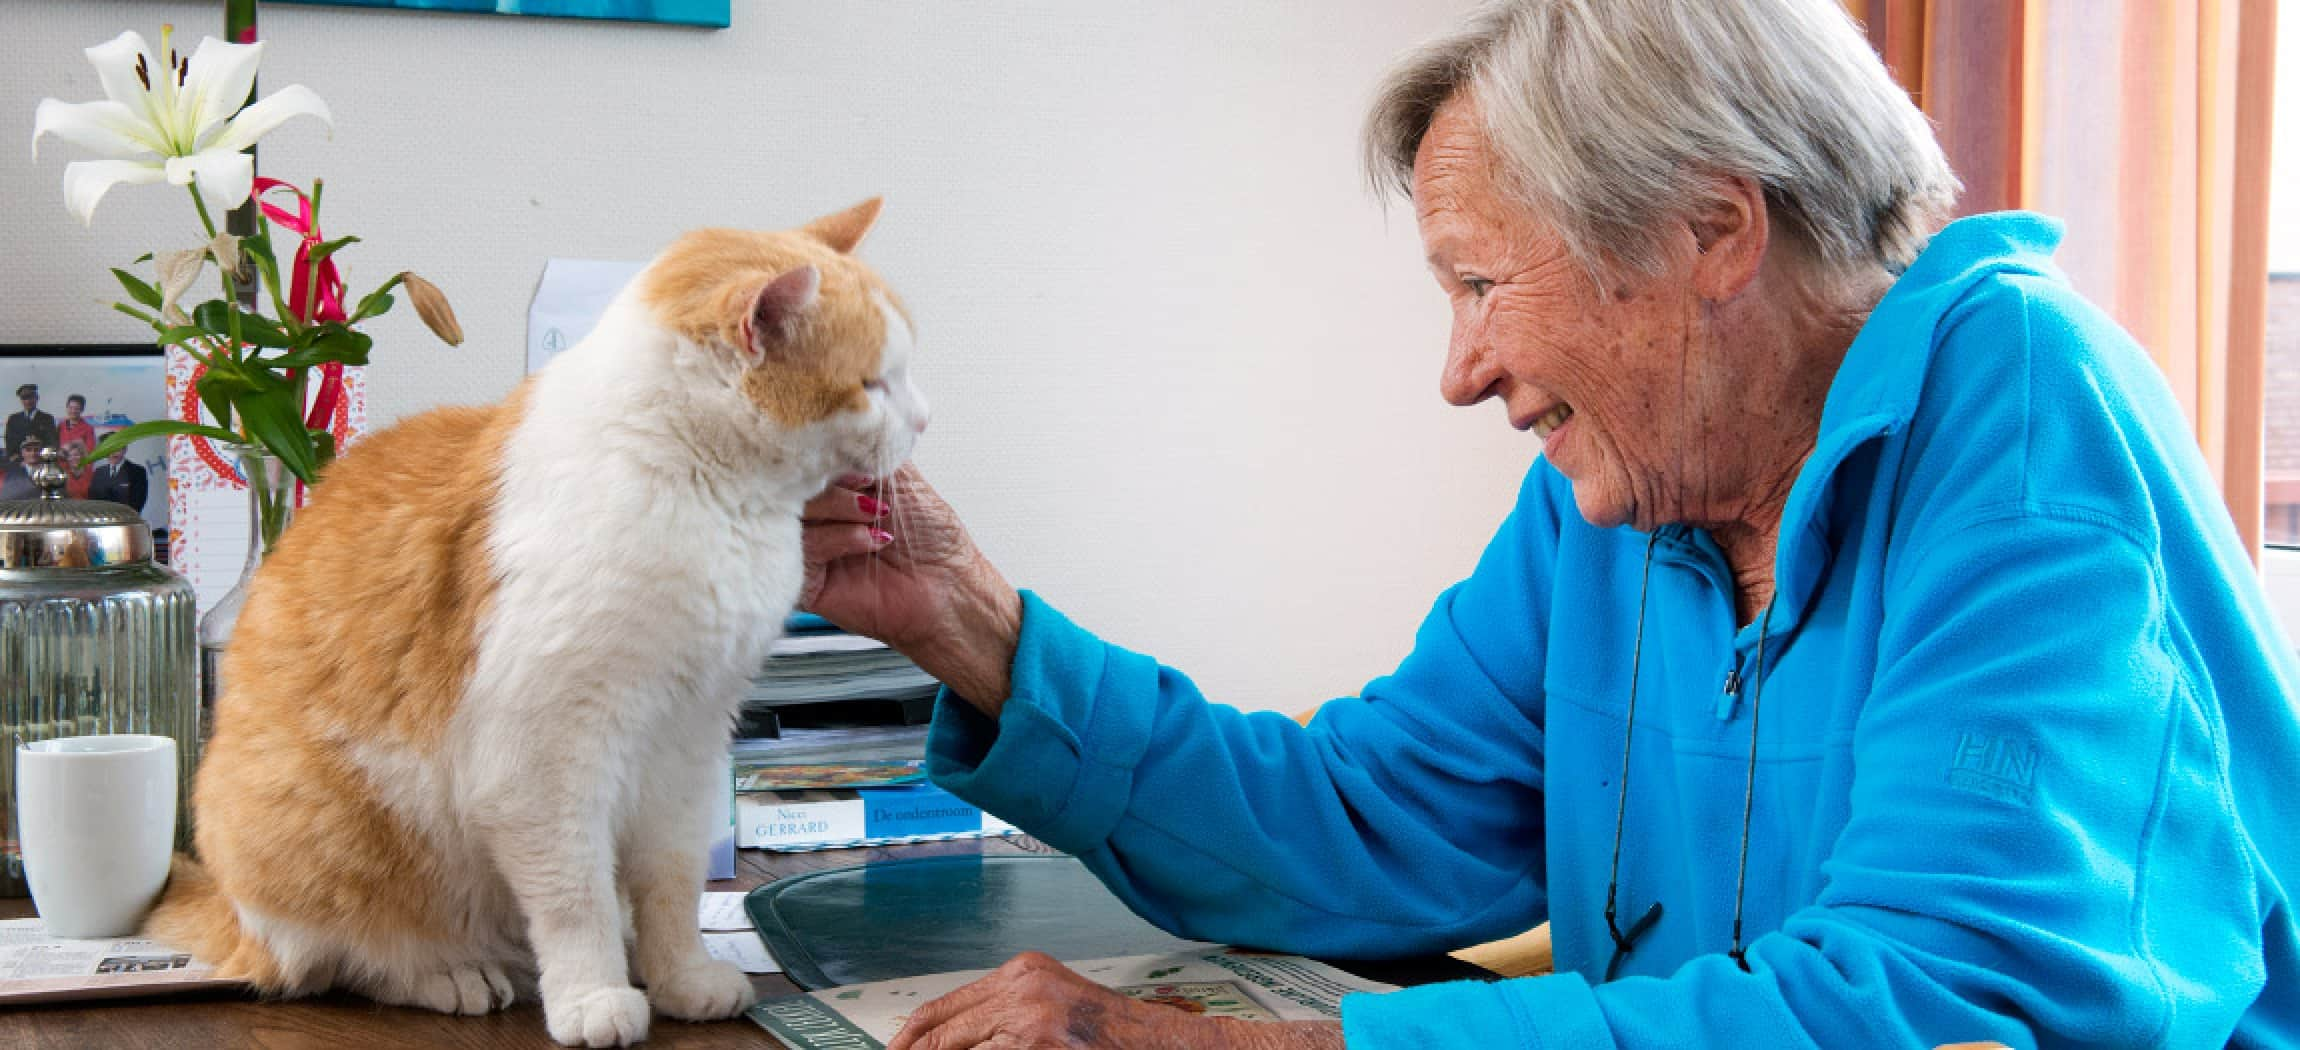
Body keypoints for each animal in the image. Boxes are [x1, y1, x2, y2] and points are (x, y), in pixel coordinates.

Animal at [148, 201, 924, 1043]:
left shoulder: (689, 739)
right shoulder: (545, 757)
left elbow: (672, 885)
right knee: (345, 956)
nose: (923, 419)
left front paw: (681, 978)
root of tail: (228, 909)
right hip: (327, 831)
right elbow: (574, 895)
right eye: (871, 384)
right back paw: (454, 973)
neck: (703, 491)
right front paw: (593, 995)